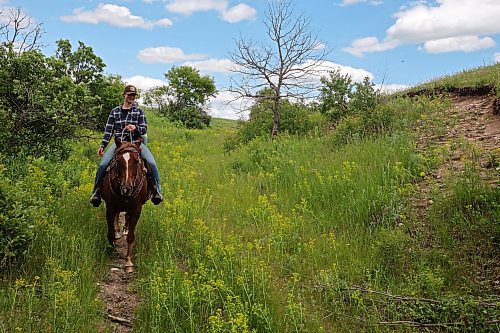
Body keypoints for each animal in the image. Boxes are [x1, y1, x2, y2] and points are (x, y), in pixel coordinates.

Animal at [100, 139, 149, 272]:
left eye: (136, 161)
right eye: (118, 161)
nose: (126, 189)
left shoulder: (136, 210)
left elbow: (131, 237)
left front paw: (128, 262)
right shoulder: (110, 208)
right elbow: (110, 233)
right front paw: (111, 251)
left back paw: (125, 229)